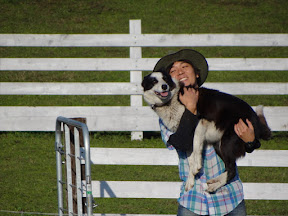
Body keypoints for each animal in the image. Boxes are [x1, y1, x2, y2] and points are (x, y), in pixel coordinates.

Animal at [143, 71, 272, 192]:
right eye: (154, 81)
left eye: (165, 79)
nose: (164, 86)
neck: (171, 100)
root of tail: (256, 120)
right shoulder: (187, 136)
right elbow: (190, 159)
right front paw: (190, 180)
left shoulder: (201, 123)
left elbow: (196, 149)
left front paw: (197, 167)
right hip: (219, 145)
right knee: (230, 168)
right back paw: (215, 181)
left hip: (228, 142)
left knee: (232, 170)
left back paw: (214, 186)